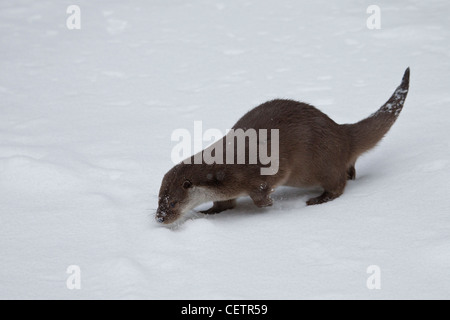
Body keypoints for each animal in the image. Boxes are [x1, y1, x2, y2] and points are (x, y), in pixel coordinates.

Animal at [156, 69, 410, 224]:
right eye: (159, 200)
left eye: (173, 203)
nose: (159, 217)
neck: (221, 172)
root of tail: (341, 133)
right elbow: (224, 203)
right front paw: (209, 211)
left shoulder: (257, 173)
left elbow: (262, 192)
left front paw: (268, 204)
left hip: (323, 162)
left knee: (338, 186)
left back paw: (318, 199)